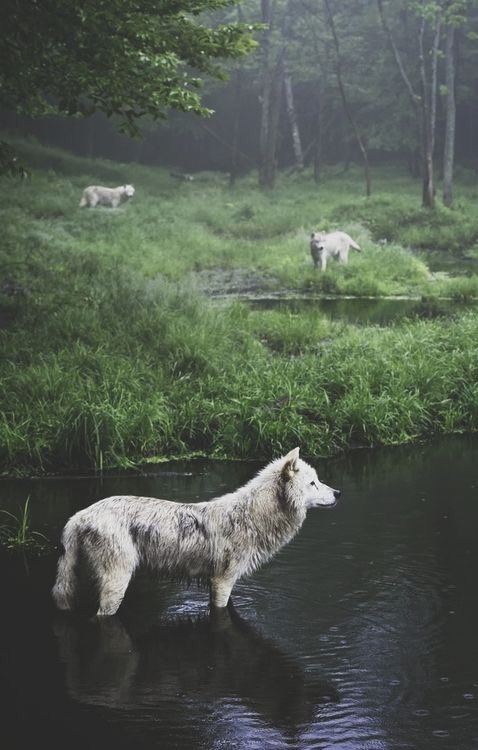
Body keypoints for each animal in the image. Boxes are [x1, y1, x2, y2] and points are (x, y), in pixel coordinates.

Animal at [52, 448, 340, 616]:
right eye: (313, 483)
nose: (338, 493)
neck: (252, 516)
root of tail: (79, 515)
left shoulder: (221, 583)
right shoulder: (222, 582)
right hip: (116, 585)